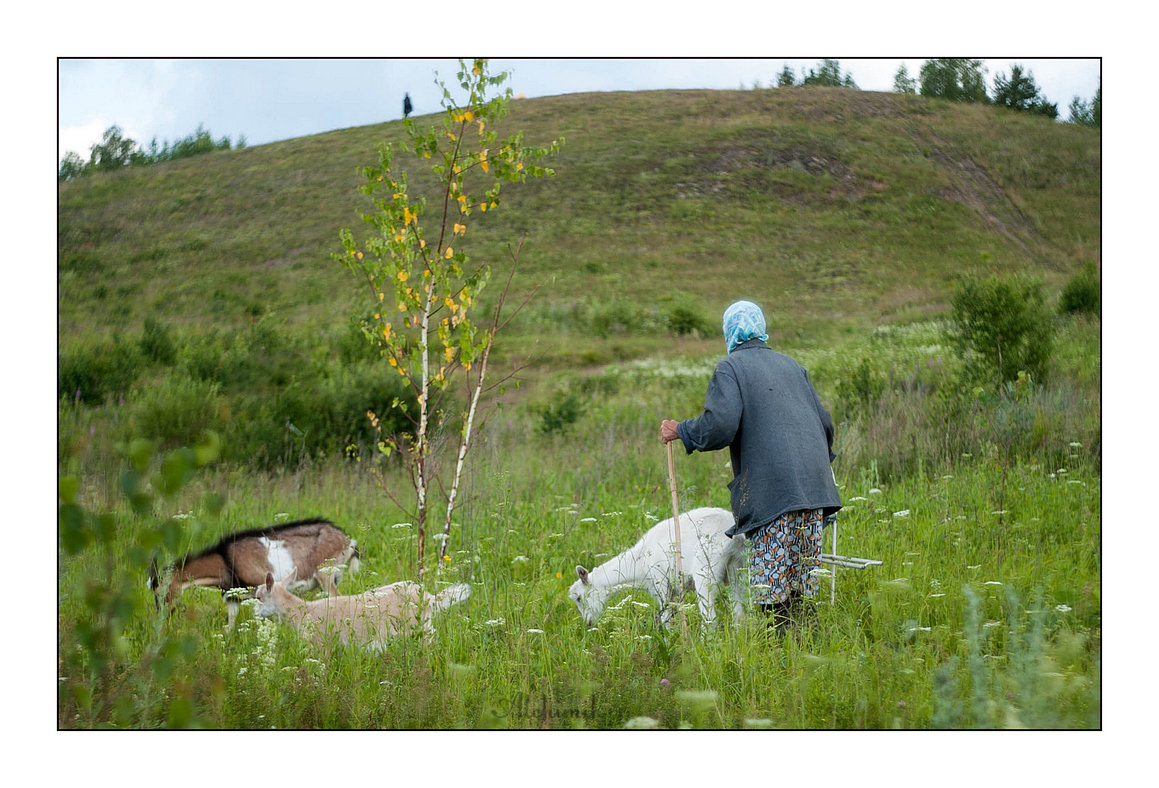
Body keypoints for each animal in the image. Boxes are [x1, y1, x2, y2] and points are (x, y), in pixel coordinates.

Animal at [149, 519, 356, 625]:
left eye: (159, 591)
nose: (159, 618)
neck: (225, 559)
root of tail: (348, 540)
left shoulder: (259, 587)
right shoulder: (232, 596)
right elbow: (230, 624)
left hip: (326, 574)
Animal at [254, 570, 470, 648]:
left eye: (258, 597)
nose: (255, 615)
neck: (303, 611)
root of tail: (430, 598)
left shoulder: (321, 645)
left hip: (423, 631)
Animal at [567, 507, 746, 630]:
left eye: (579, 598)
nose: (588, 623)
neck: (637, 564)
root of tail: (735, 537)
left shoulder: (661, 583)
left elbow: (666, 620)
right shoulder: (672, 591)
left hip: (705, 571)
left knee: (710, 618)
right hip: (736, 568)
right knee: (739, 613)